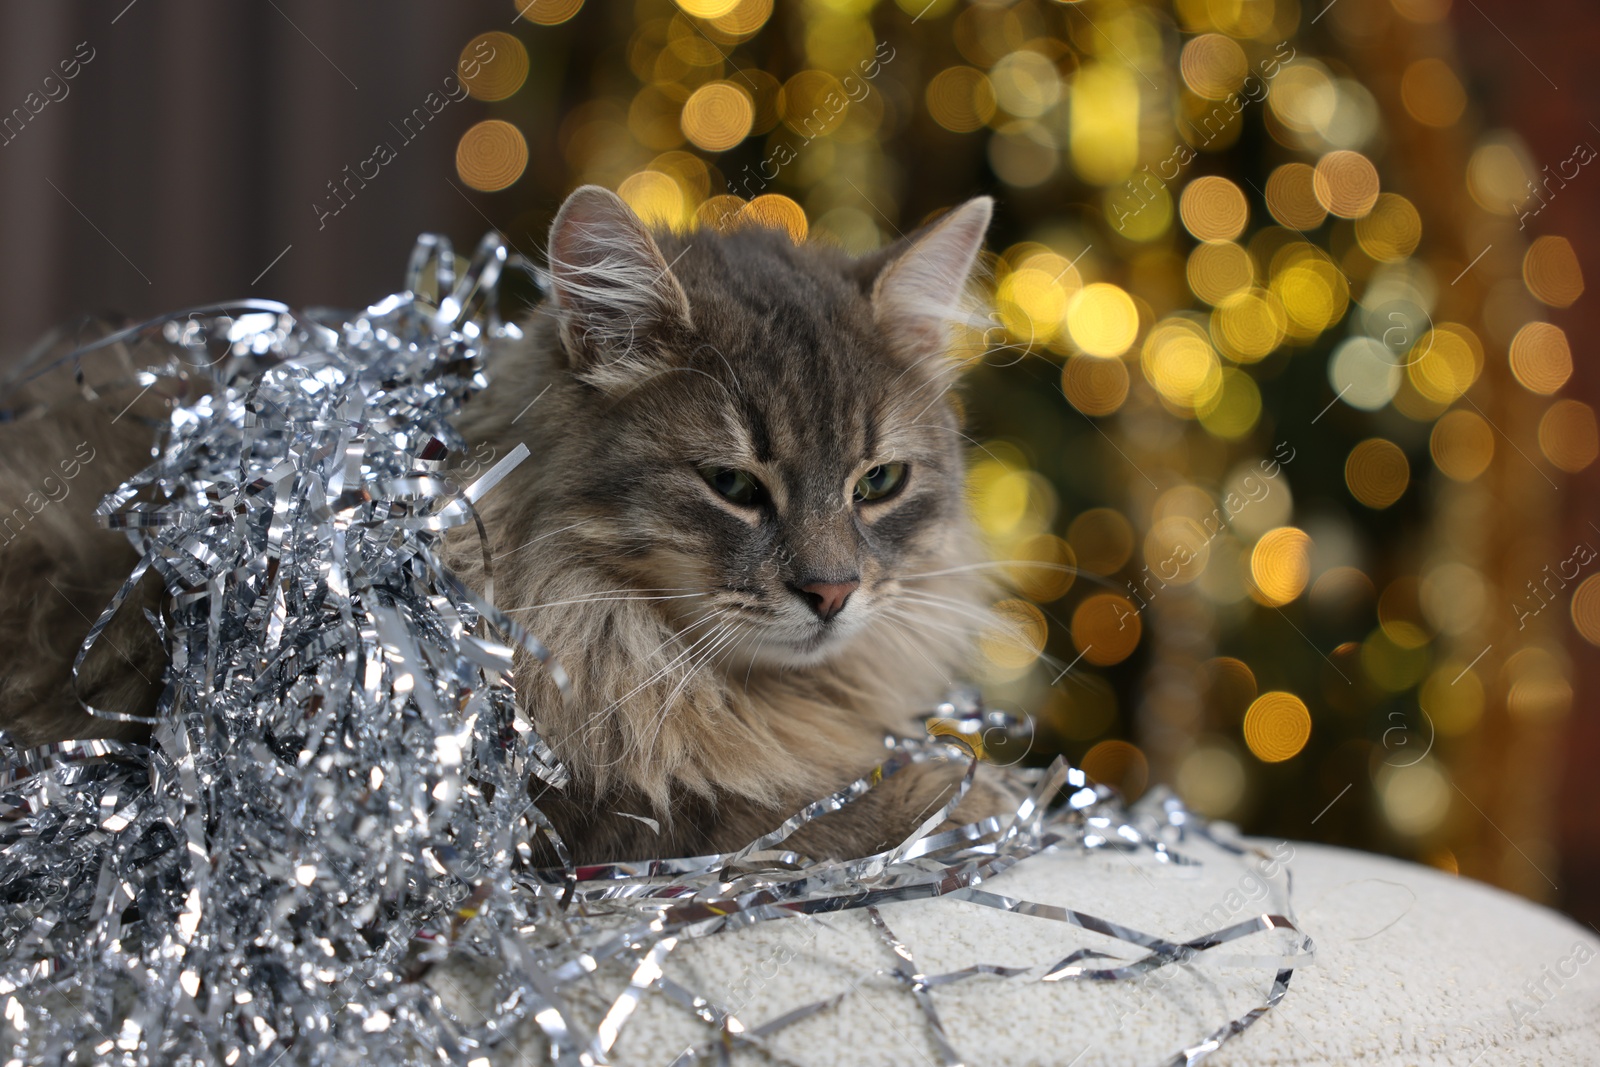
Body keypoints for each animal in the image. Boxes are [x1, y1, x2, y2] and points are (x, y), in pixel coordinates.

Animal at [0, 185, 1004, 870]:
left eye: (879, 483)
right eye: (732, 485)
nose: (832, 592)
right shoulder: (537, 810)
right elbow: (781, 813)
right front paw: (963, 796)